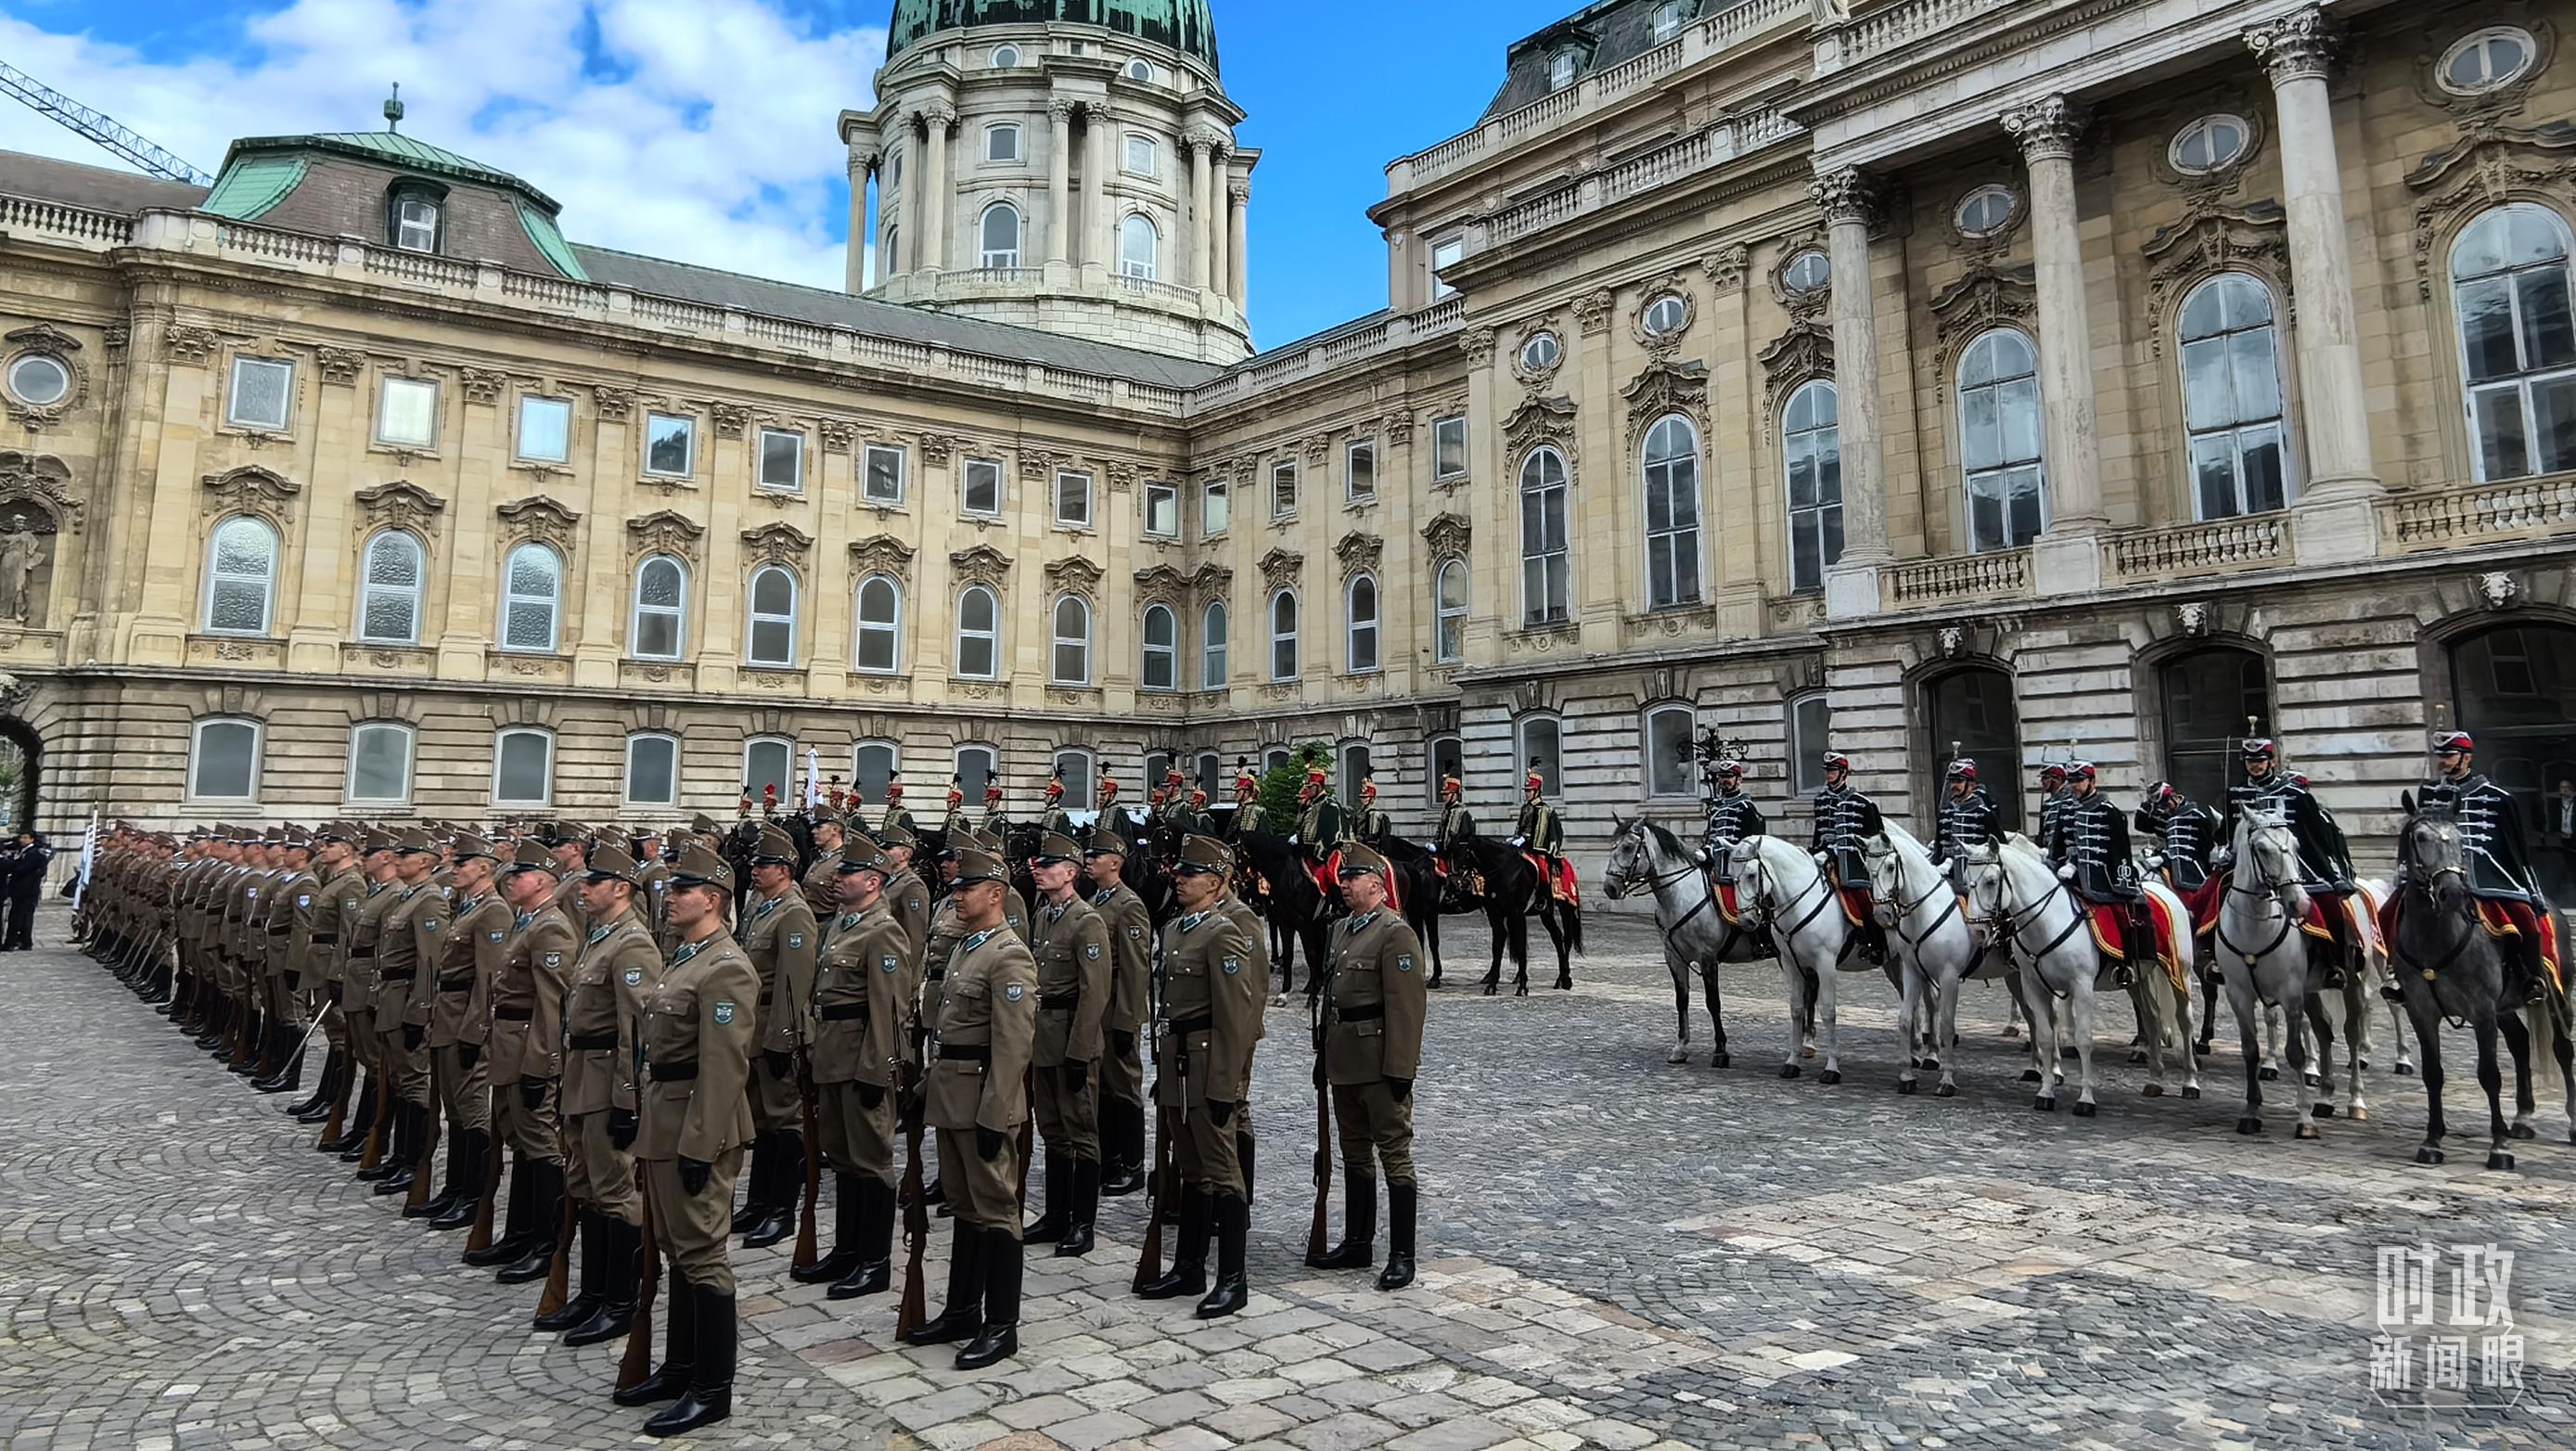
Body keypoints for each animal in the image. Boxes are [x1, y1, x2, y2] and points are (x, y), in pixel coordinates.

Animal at [1865, 824, 2019, 1098]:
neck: (1926, 911)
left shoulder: (1949, 977)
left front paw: (1946, 1079)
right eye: (1866, 868)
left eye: (1891, 867)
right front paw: (1907, 1075)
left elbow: (1947, 1024)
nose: (1881, 915)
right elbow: (1906, 1019)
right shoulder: (1912, 972)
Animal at [1957, 835, 2102, 1118]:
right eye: (1968, 881)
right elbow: (2045, 1033)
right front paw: (2045, 1092)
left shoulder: (2082, 986)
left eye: (1991, 881)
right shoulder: (2033, 984)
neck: (2047, 921)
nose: (1978, 933)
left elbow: (2084, 1039)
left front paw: (2086, 1099)